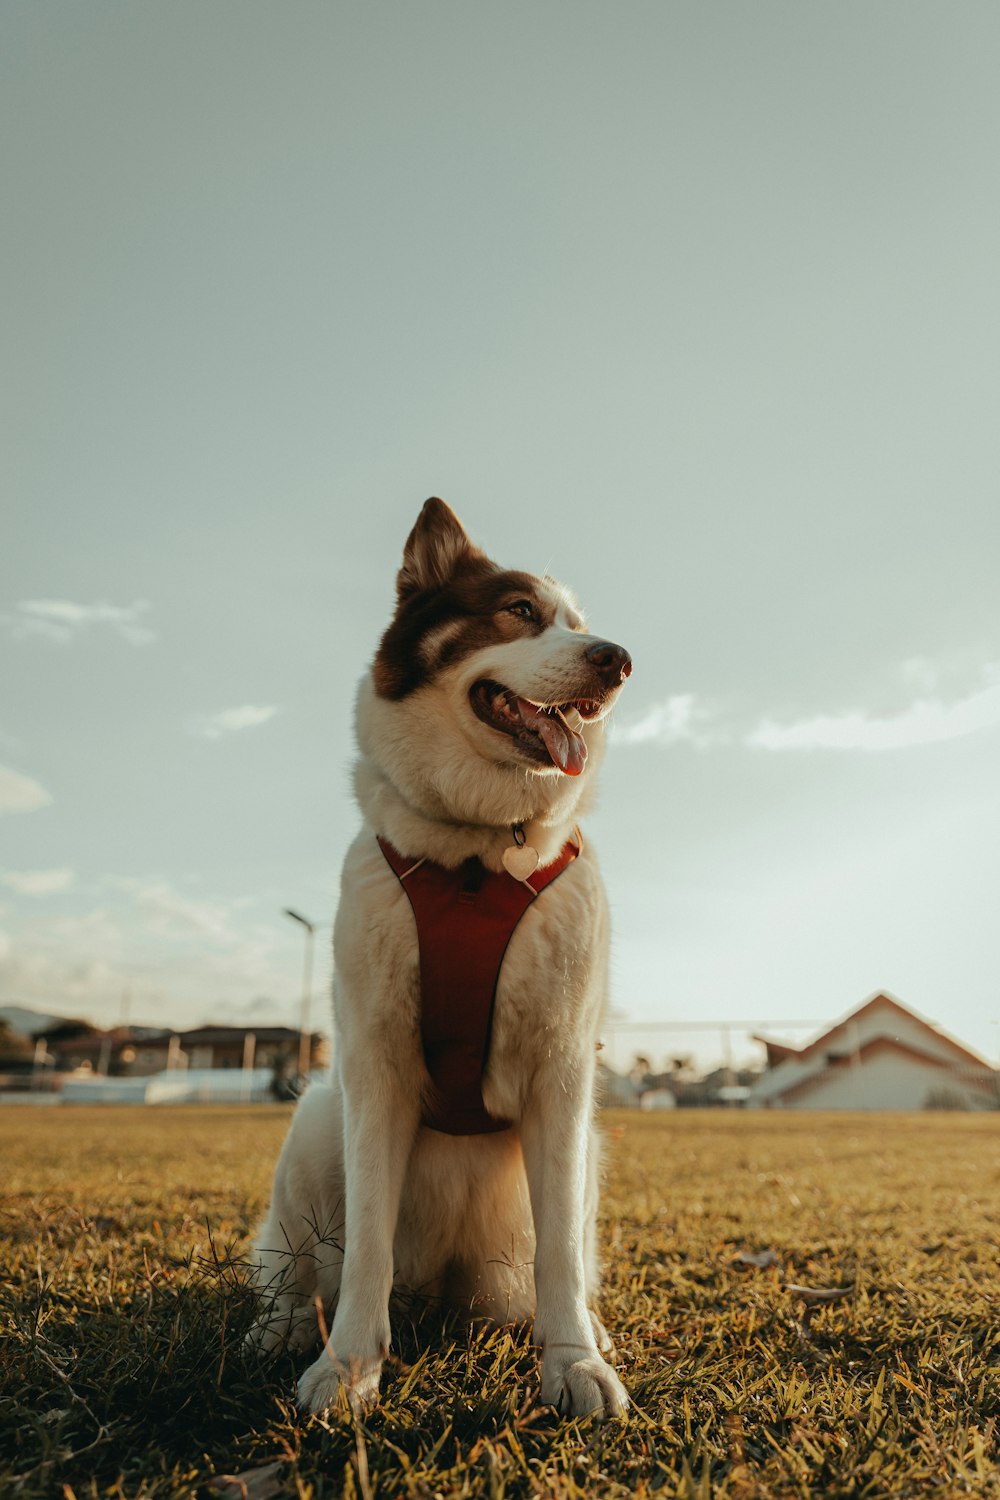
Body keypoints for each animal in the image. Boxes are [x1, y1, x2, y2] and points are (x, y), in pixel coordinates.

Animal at [245, 495, 629, 1416]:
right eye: (519, 611)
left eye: (580, 626)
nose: (619, 661)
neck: (476, 859)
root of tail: (445, 1287)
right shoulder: (374, 1066)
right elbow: (365, 1253)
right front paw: (348, 1368)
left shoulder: (564, 1074)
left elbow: (563, 1252)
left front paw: (573, 1362)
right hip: (318, 1118)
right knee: (296, 1263)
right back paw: (282, 1326)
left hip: (584, 1153)